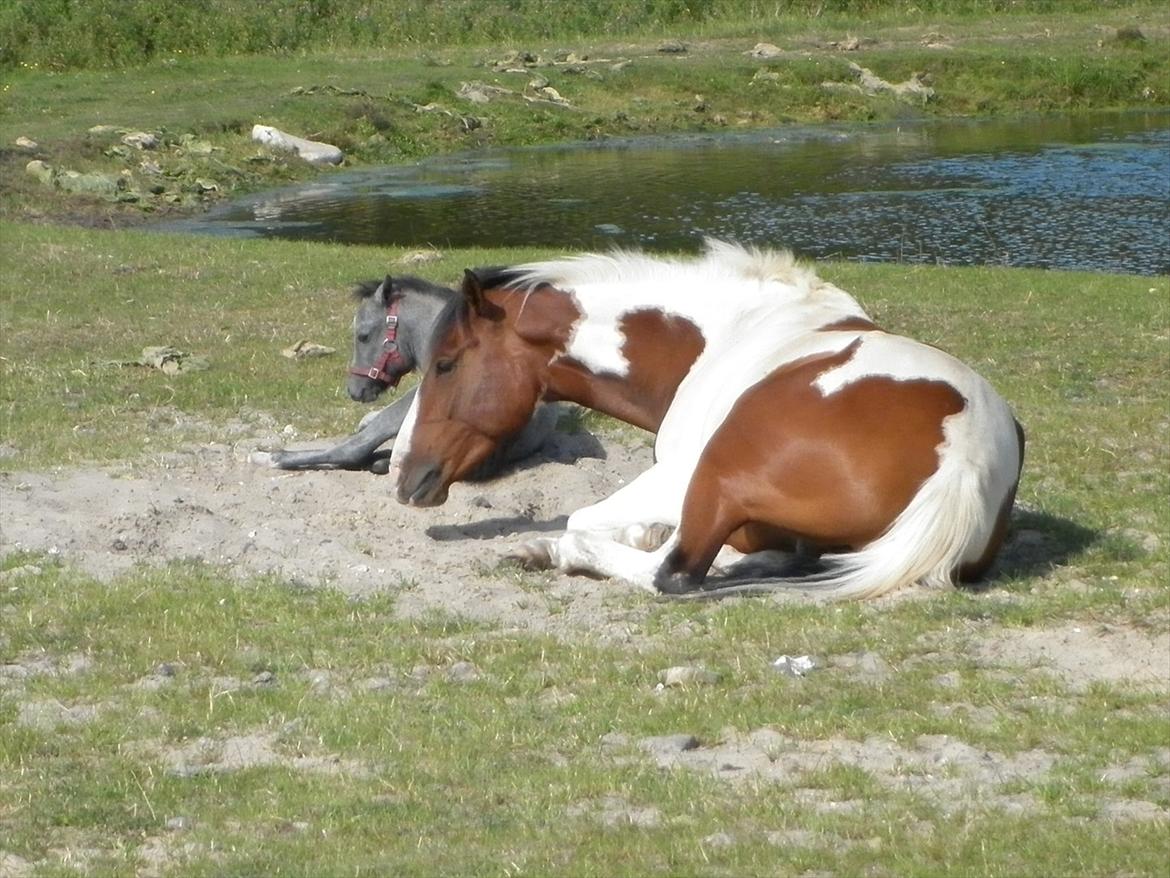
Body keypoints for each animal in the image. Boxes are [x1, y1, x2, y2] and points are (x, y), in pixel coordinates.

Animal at [388, 237, 1020, 604]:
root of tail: (964, 455)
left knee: (672, 572)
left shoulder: (678, 477)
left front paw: (556, 546)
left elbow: (589, 522)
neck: (724, 336)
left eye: (445, 363)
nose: (400, 473)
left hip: (714, 477)